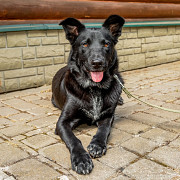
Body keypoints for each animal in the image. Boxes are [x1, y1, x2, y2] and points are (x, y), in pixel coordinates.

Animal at [52, 15, 124, 174]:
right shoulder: (62, 122)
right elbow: (73, 139)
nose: (97, 63)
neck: (94, 88)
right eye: (84, 44)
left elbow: (103, 130)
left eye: (106, 44)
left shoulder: (108, 116)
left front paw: (97, 144)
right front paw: (81, 159)